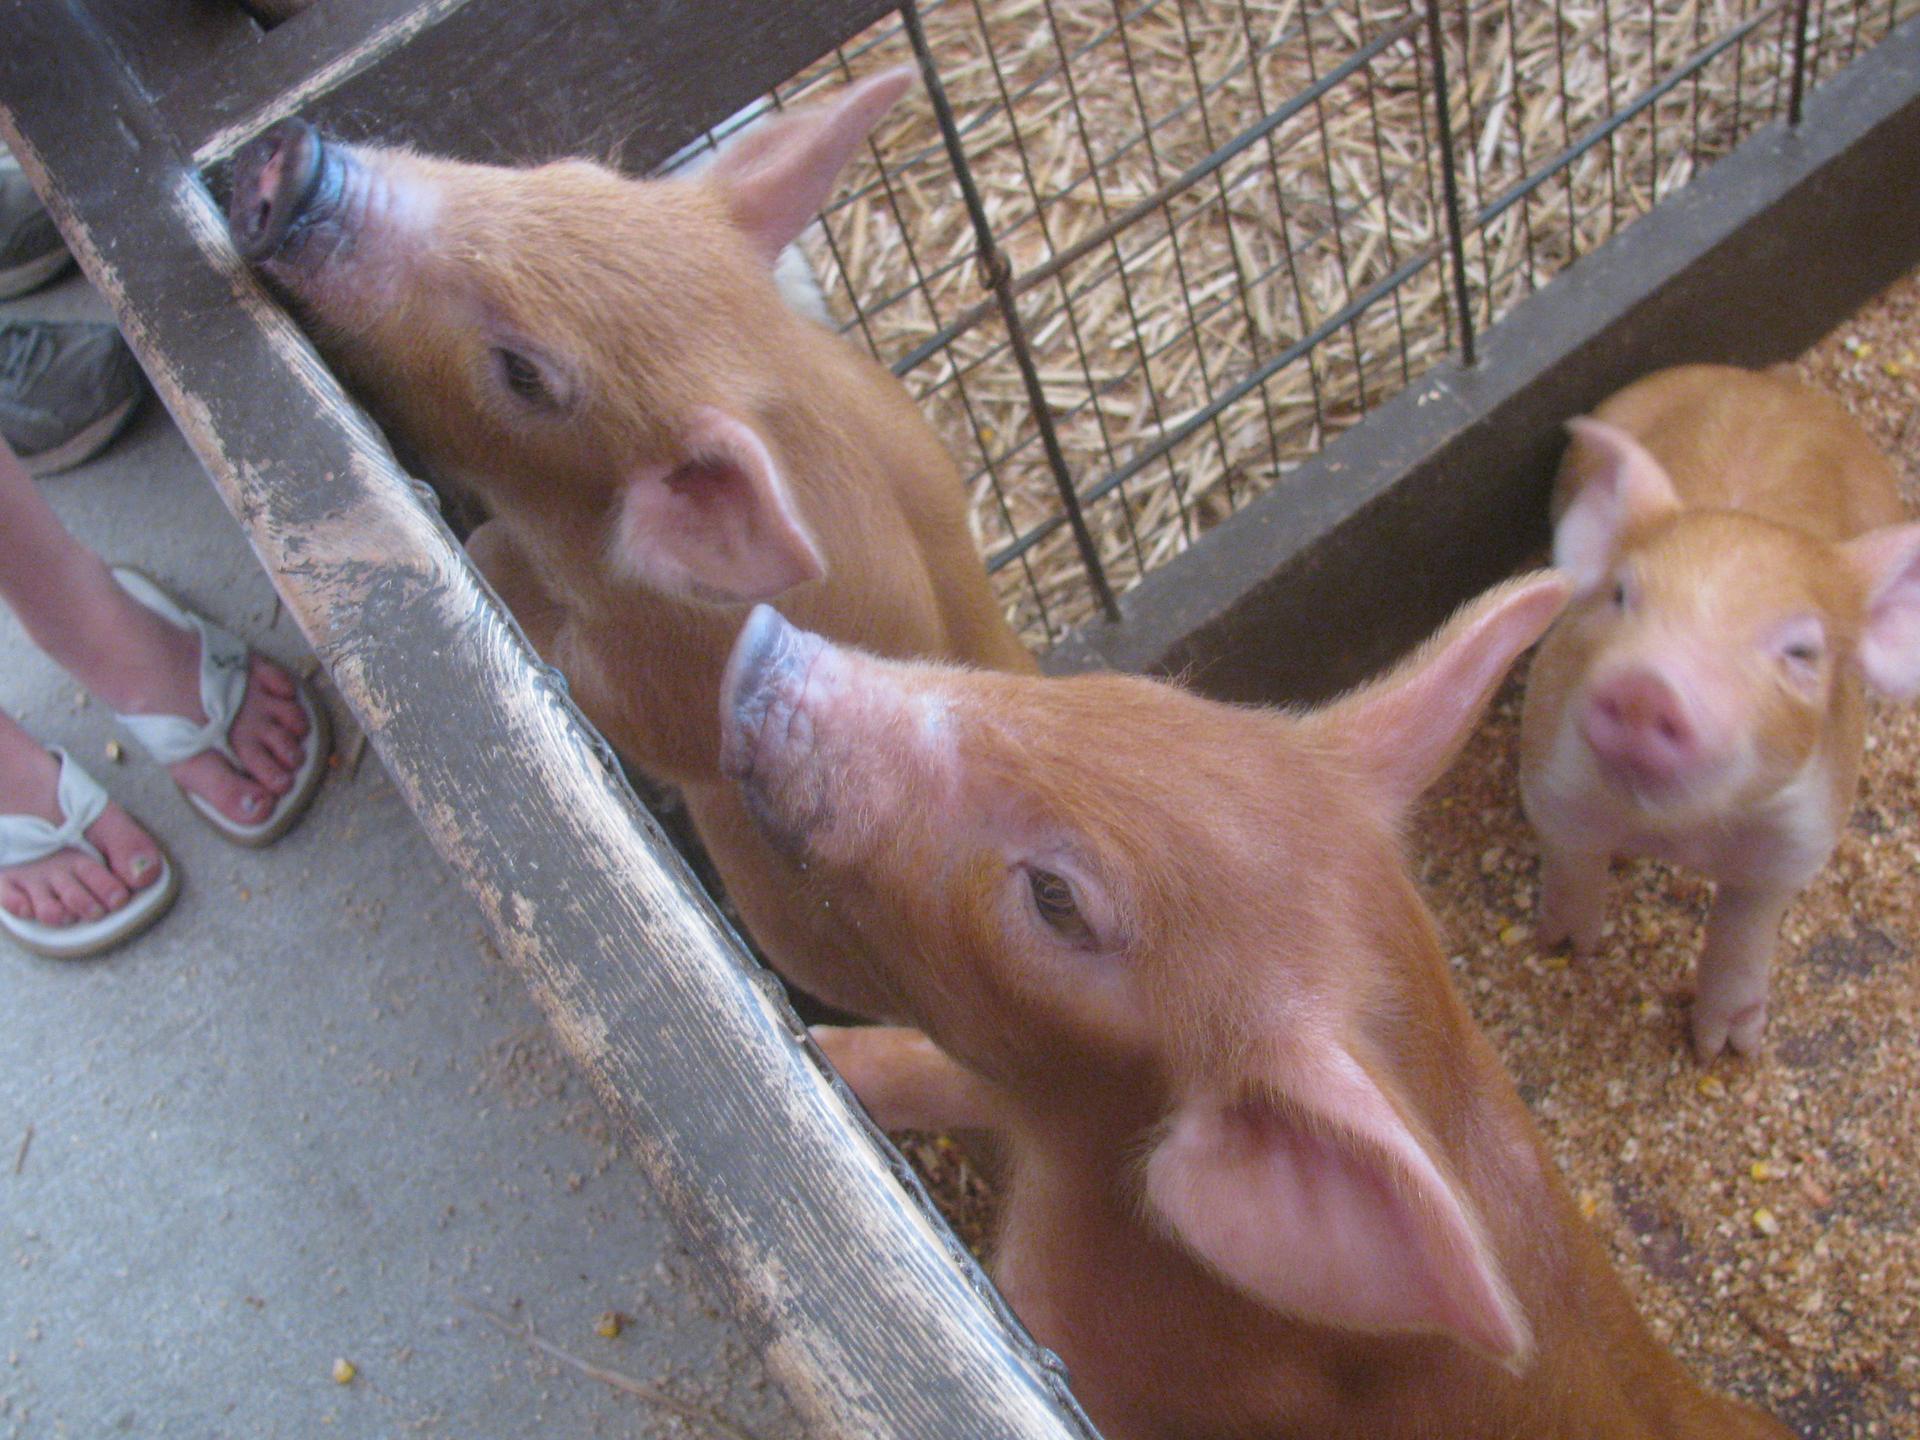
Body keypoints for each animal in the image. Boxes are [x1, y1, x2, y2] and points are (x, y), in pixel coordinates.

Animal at [1519, 365, 1920, 1060]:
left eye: (1801, 651)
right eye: (1621, 594)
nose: (1647, 687)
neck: (1680, 832)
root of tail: (1769, 383)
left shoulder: (1802, 834)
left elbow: (1746, 927)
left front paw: (1728, 1050)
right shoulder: (1550, 765)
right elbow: (1573, 860)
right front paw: (1568, 948)